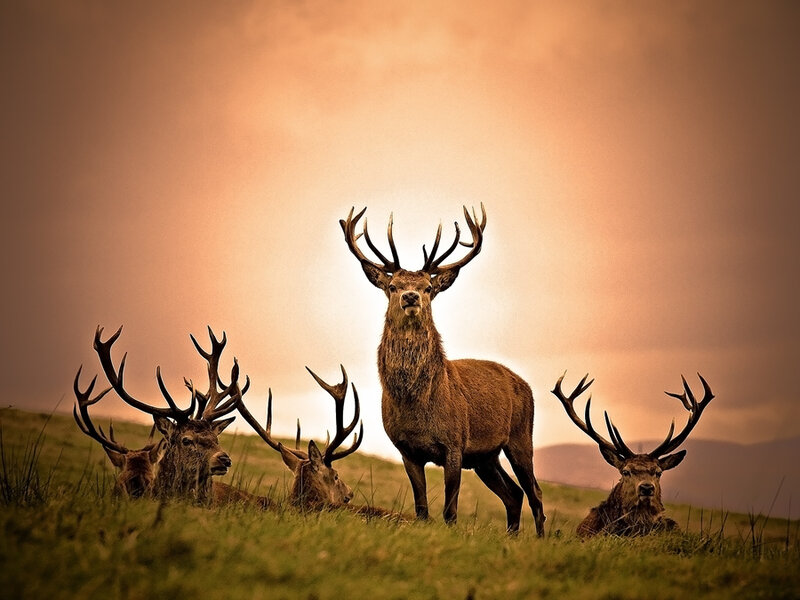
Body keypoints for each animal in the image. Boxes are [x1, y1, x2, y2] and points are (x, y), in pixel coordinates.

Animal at [340, 205, 546, 535]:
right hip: (485, 457)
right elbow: (421, 508)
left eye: (428, 288)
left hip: (521, 435)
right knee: (514, 493)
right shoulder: (406, 449)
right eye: (392, 286)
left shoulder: (454, 444)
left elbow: (450, 511)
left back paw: (539, 538)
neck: (417, 406)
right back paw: (512, 536)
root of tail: (524, 384)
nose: (411, 297)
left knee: (534, 491)